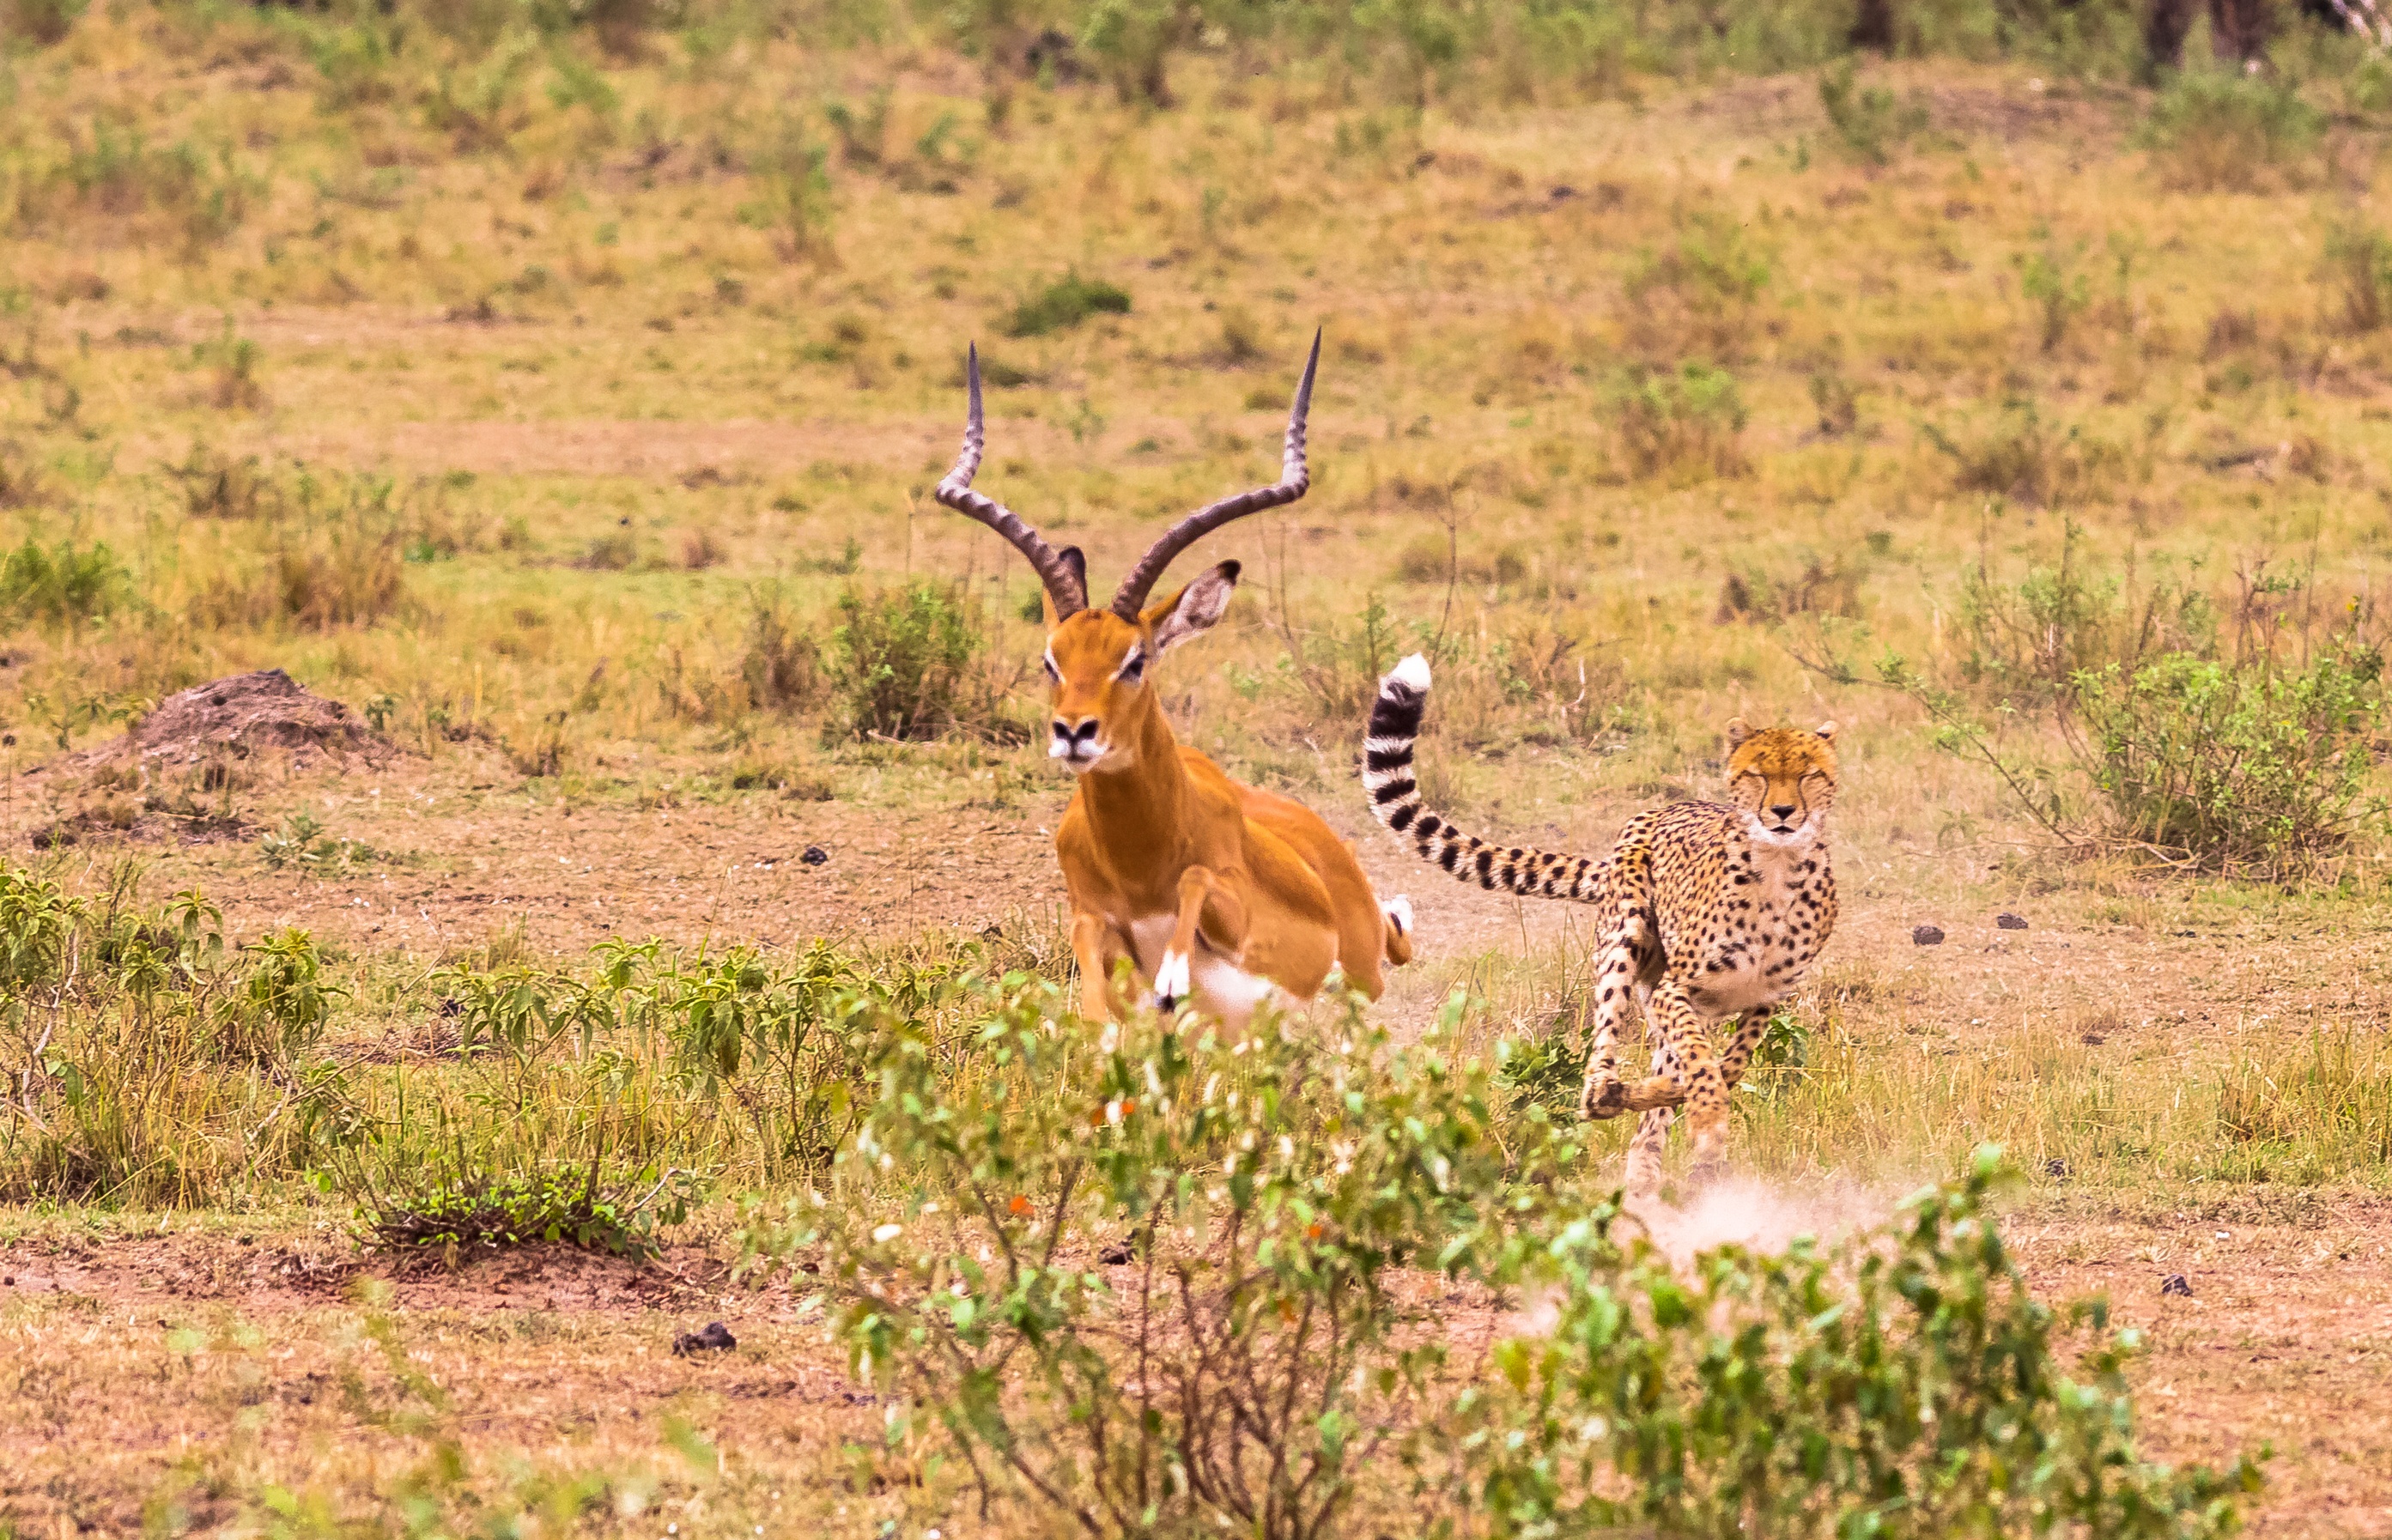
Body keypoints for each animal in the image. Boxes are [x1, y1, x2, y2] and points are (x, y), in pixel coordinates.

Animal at [932, 333, 1414, 1027]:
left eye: (1135, 660)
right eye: (1052, 661)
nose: (1074, 732)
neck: (1139, 864)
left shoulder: (1233, 907)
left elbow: (1195, 879)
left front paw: (1172, 979)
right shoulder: (1091, 917)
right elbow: (1092, 981)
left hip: (1356, 981)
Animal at [1360, 651, 1839, 1194]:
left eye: (1808, 775)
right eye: (1758, 774)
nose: (1782, 812)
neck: (1777, 868)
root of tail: (1655, 811)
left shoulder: (1763, 1000)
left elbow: (1728, 1064)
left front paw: (1687, 1103)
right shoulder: (1676, 989)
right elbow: (1702, 1062)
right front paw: (1707, 1115)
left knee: (1650, 1107)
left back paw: (1643, 1161)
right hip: (1626, 941)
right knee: (1598, 1066)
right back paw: (1610, 1097)